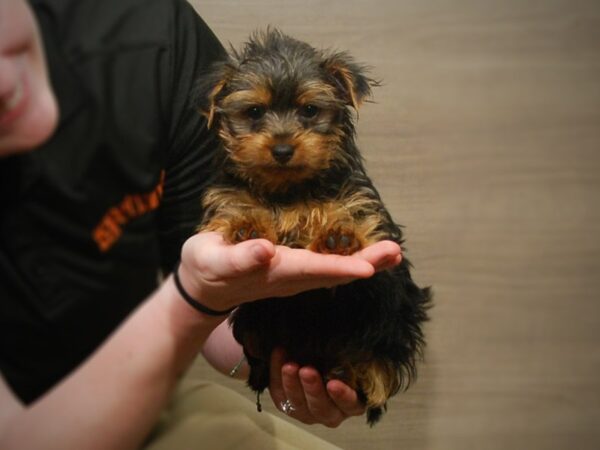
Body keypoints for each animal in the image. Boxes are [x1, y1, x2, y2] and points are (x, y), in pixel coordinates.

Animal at [197, 29, 432, 426]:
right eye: (254, 112)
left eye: (309, 111)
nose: (281, 149)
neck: (289, 189)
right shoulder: (229, 194)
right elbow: (239, 205)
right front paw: (248, 225)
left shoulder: (355, 195)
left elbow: (349, 212)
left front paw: (338, 236)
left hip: (396, 310)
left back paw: (361, 370)